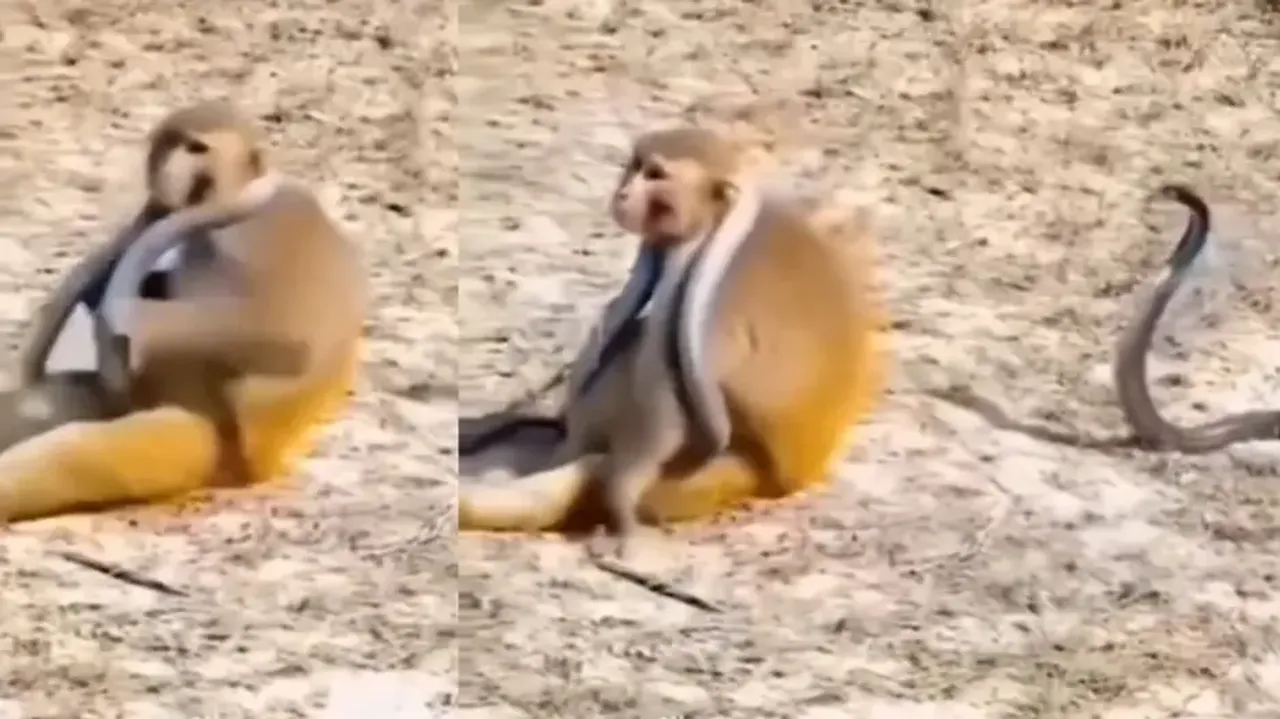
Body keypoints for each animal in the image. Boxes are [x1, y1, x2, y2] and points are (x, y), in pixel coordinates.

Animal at [0, 100, 366, 523]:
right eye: (172, 144)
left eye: (197, 147)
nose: (166, 168)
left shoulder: (257, 229)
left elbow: (286, 339)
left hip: (198, 445)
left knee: (85, 451)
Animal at [459, 126, 887, 538]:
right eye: (635, 166)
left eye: (656, 175)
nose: (623, 193)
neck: (714, 218)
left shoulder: (696, 274)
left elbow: (662, 386)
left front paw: (618, 498)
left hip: (699, 482)